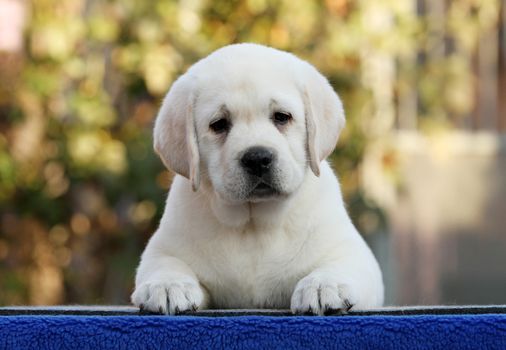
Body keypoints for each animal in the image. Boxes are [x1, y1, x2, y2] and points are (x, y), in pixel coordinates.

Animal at [131, 43, 384, 314]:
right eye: (219, 124)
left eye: (282, 116)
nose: (257, 158)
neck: (253, 225)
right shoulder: (163, 248)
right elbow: (165, 263)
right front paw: (167, 285)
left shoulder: (352, 251)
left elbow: (340, 264)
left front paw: (323, 285)